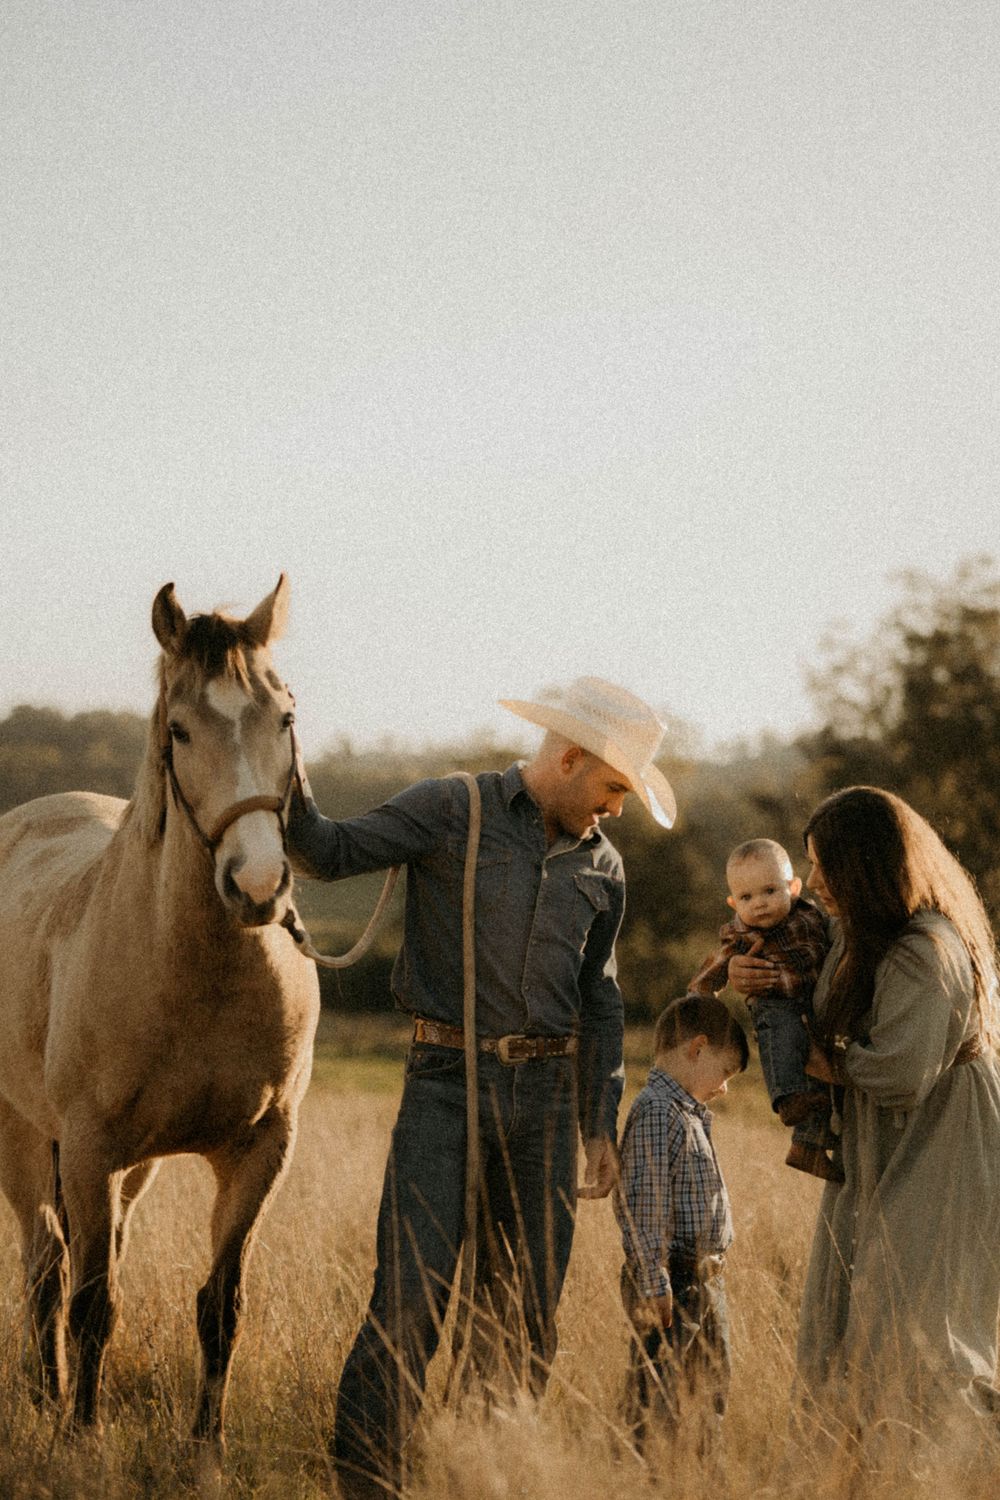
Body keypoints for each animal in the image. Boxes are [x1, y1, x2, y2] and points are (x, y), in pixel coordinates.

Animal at [0, 575, 320, 1466]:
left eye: (285, 716)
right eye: (180, 730)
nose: (258, 887)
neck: (197, 973)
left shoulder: (260, 1152)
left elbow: (220, 1303)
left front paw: (207, 1443)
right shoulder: (88, 1149)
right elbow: (91, 1304)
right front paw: (81, 1436)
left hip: (128, 1172)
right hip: (25, 1139)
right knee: (47, 1267)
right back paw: (47, 1398)